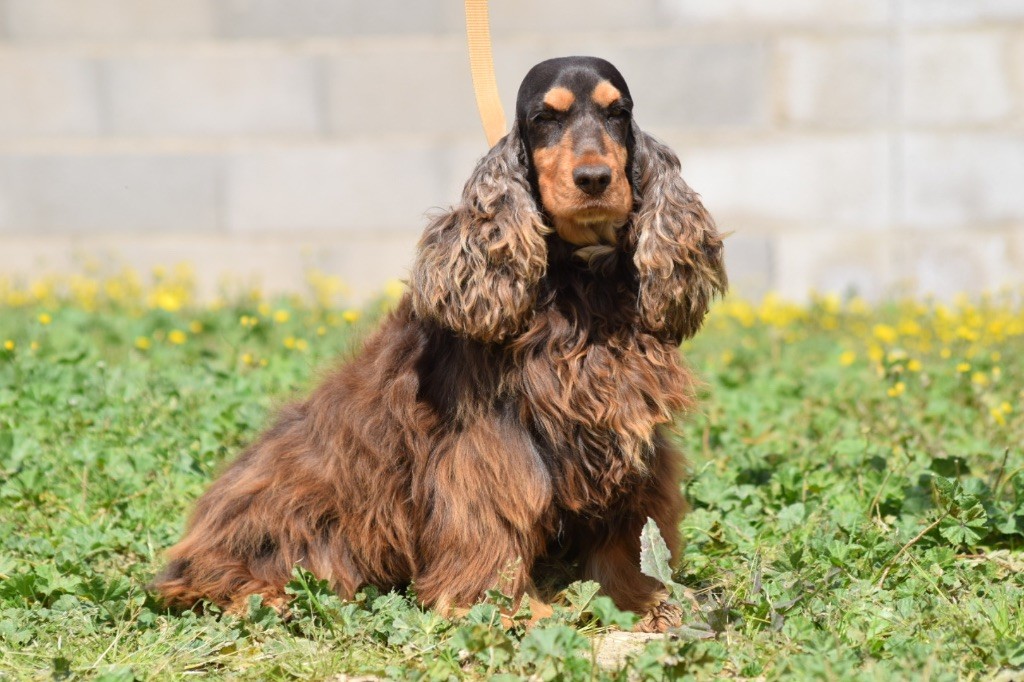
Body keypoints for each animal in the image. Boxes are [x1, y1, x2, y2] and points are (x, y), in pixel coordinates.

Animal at [151, 57, 729, 630]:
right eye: (545, 117)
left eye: (618, 113)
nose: (594, 178)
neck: (581, 282)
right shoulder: (490, 445)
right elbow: (496, 524)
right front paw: (508, 611)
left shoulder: (626, 429)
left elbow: (625, 536)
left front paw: (640, 601)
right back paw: (265, 597)